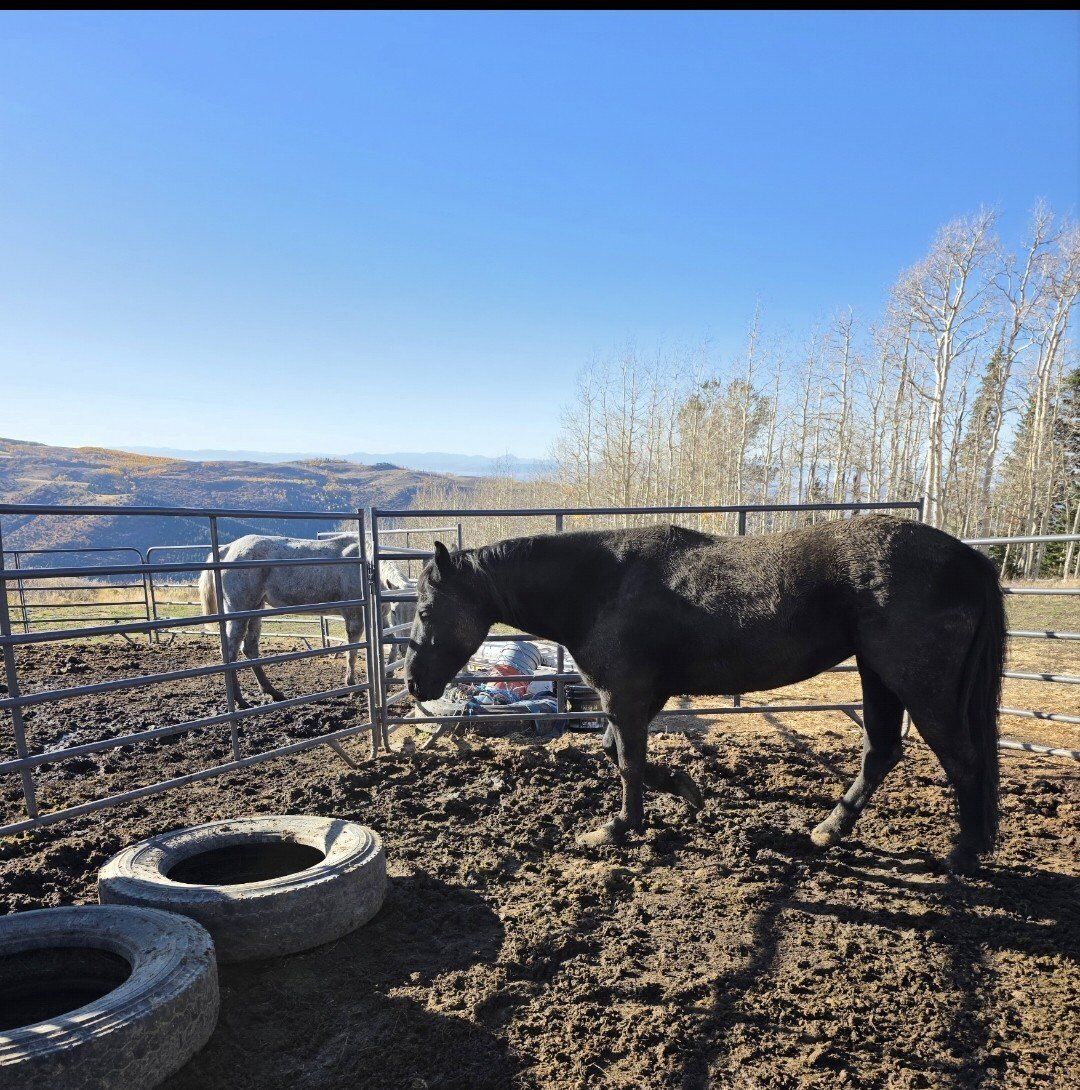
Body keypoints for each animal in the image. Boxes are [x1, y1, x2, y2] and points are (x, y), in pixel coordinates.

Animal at [402, 516, 1006, 875]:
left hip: (917, 683)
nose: (413, 682)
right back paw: (830, 830)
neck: (601, 586)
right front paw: (688, 791)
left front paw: (619, 828)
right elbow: (620, 754)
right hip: (878, 674)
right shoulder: (638, 700)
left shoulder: (625, 698)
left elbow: (626, 762)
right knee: (881, 750)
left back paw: (963, 852)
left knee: (962, 759)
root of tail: (971, 559)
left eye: (427, 611)